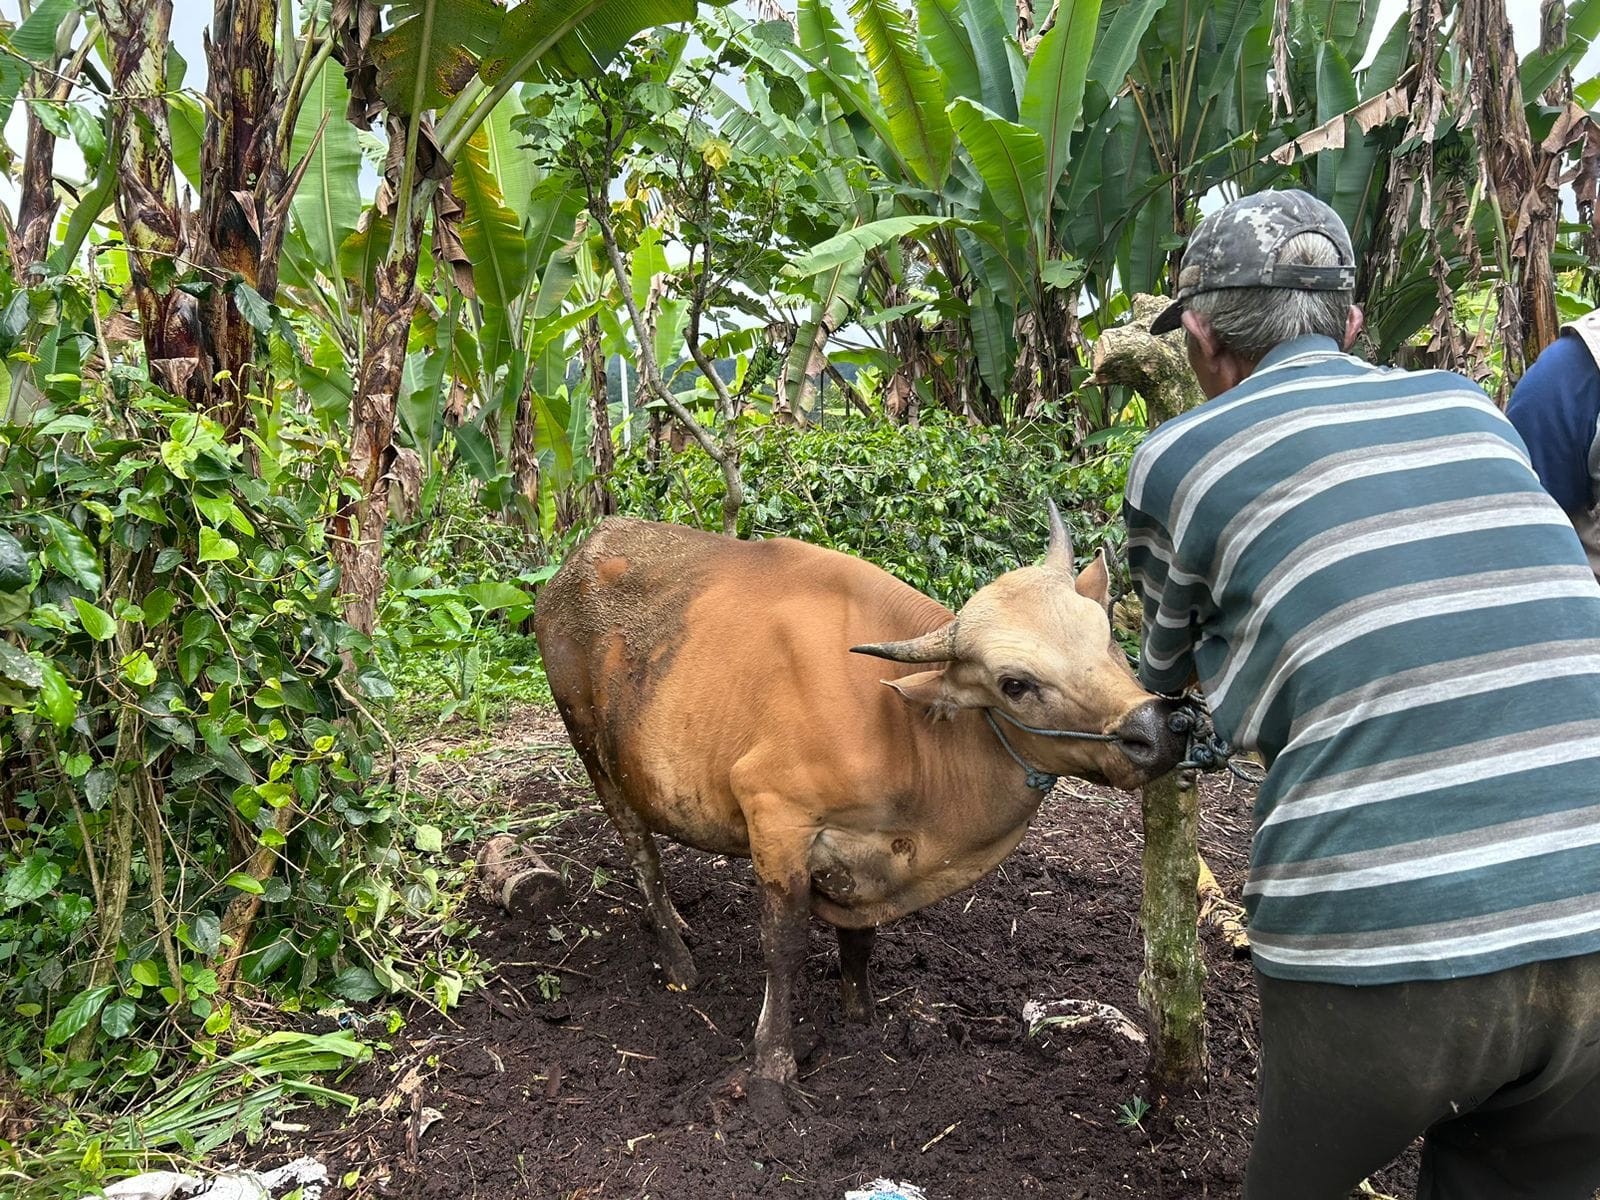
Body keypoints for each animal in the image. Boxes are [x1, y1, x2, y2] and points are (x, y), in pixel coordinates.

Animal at [537, 508, 1190, 1088]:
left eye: (1109, 638)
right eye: (1014, 685)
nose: (1157, 729)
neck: (905, 730)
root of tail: (581, 556)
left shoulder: (868, 858)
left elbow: (861, 939)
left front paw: (862, 1016)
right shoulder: (774, 814)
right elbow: (783, 946)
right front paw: (773, 1063)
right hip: (595, 751)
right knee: (641, 853)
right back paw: (676, 960)